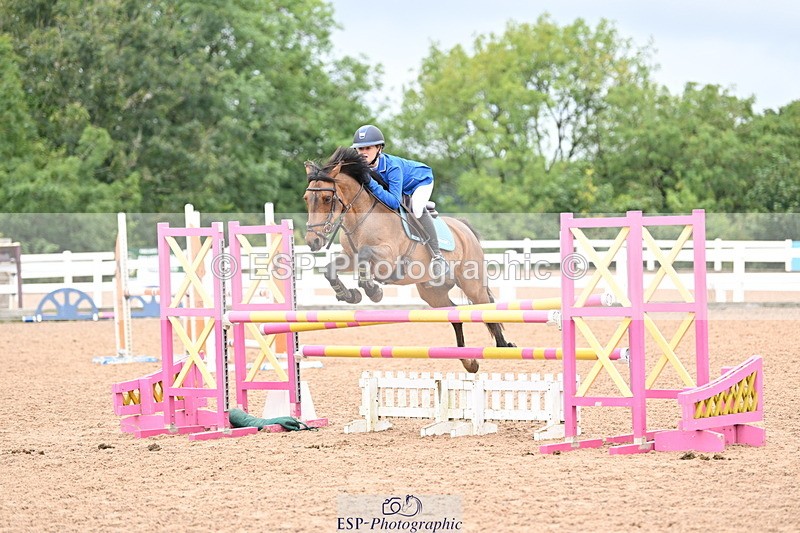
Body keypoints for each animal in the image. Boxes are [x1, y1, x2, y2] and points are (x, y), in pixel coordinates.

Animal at [302, 146, 514, 373]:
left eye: (326, 198)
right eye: (306, 198)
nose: (313, 241)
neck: (361, 219)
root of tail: (463, 227)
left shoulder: (388, 258)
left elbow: (366, 255)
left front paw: (372, 290)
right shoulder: (350, 257)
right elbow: (330, 269)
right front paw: (349, 294)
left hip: (472, 284)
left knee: (486, 310)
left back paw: (504, 346)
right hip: (433, 293)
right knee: (454, 315)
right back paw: (469, 362)